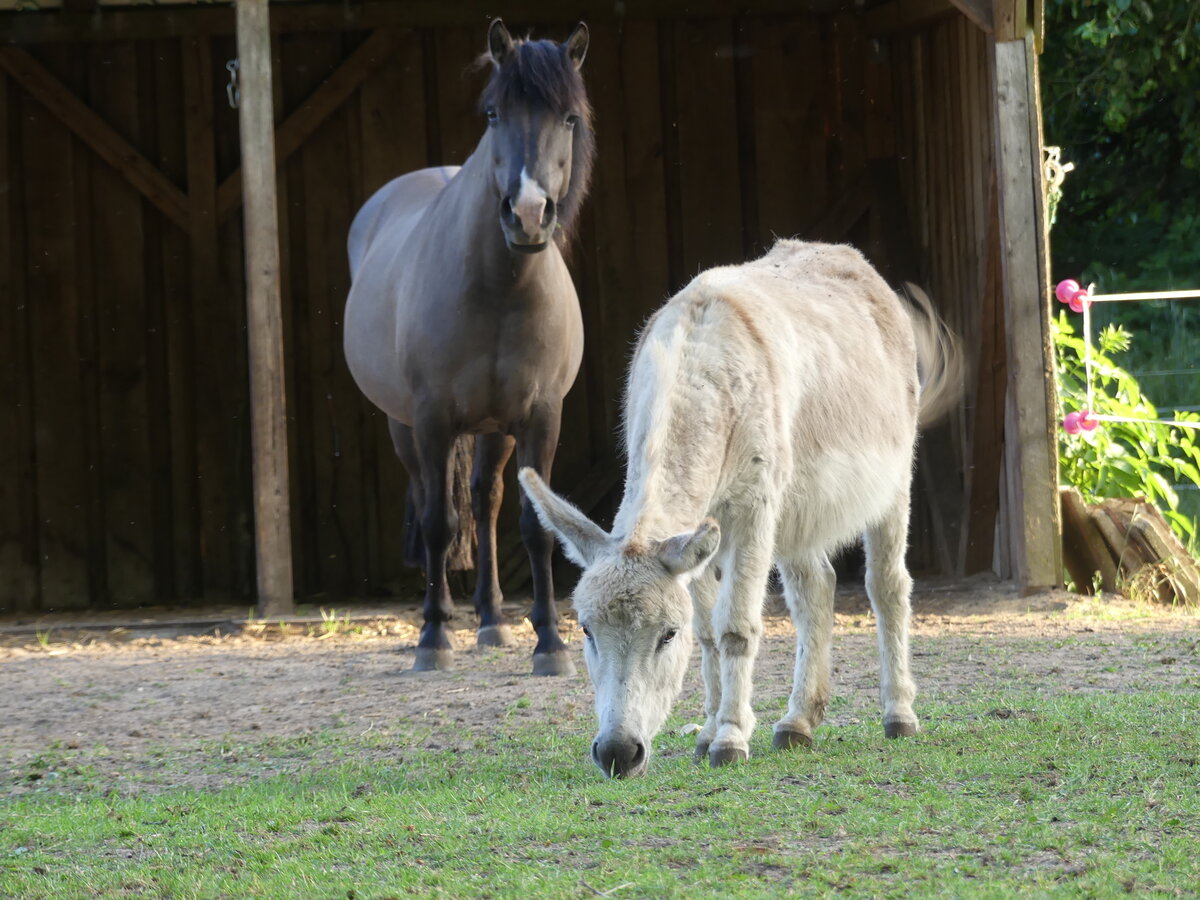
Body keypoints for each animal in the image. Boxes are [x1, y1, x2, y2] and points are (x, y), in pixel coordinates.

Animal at [344, 20, 594, 676]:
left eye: (568, 117)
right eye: (492, 112)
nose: (528, 214)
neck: (499, 289)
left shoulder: (540, 417)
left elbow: (534, 525)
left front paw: (550, 642)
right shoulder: (431, 418)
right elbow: (437, 523)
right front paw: (433, 638)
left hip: (494, 427)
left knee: (485, 500)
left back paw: (491, 620)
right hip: (405, 426)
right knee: (439, 501)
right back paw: (449, 620)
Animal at [519, 239, 963, 776]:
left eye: (667, 635)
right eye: (586, 630)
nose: (617, 754)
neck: (698, 366)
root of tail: (844, 255)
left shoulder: (752, 511)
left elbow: (734, 626)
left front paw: (729, 738)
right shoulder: (701, 534)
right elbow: (709, 631)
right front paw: (709, 730)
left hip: (891, 484)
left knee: (888, 587)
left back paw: (898, 713)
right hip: (797, 512)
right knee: (816, 590)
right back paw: (798, 722)